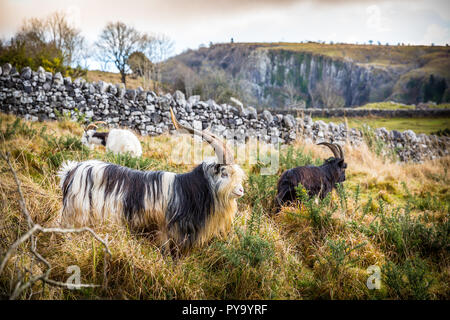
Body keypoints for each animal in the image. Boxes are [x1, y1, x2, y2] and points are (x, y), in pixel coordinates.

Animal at [59, 109, 246, 254]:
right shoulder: (164, 235)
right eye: (224, 173)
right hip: (77, 218)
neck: (187, 192)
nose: (241, 190)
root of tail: (71, 170)